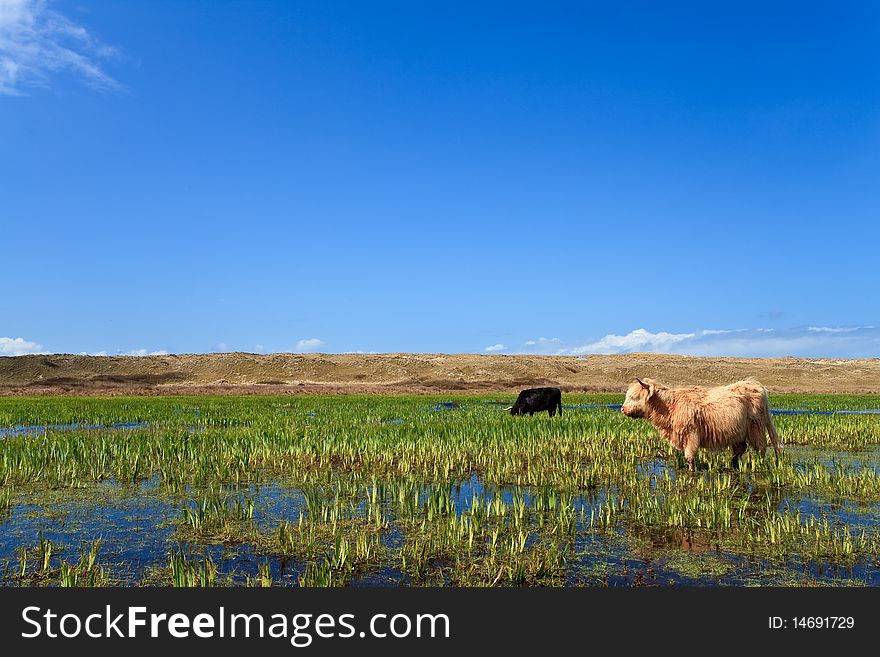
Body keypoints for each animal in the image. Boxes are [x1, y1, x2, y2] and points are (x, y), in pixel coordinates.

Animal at [620, 374, 784, 472]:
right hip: (739, 431)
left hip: (756, 427)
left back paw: (759, 465)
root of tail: (755, 385)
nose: (622, 409)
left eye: (634, 396)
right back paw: (732, 464)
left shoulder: (691, 434)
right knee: (740, 449)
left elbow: (689, 457)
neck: (669, 407)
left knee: (761, 448)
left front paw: (692, 471)